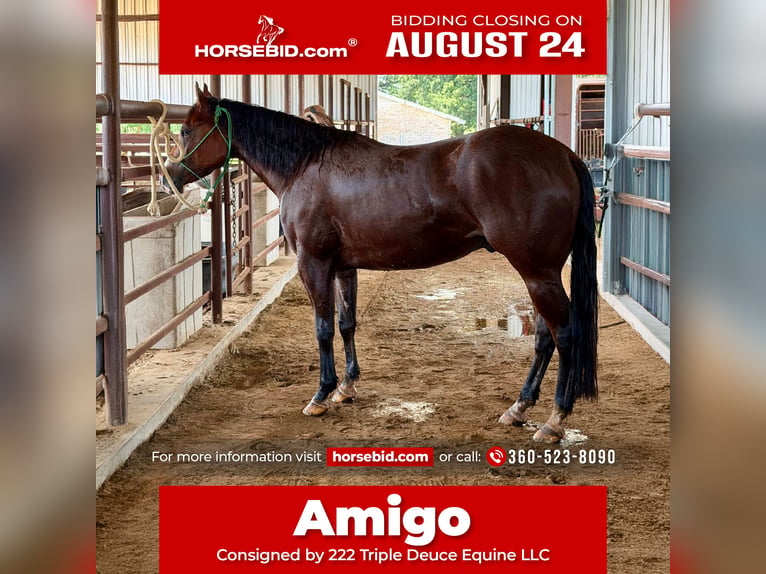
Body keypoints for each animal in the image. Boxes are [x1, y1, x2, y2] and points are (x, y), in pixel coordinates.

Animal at [166, 84, 598, 443]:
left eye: (186, 129)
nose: (171, 175)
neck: (304, 165)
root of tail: (563, 154)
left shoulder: (313, 264)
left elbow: (323, 329)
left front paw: (321, 394)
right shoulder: (343, 266)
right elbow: (346, 323)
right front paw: (347, 388)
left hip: (537, 272)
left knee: (565, 334)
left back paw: (554, 420)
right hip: (539, 273)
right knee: (544, 337)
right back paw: (519, 408)